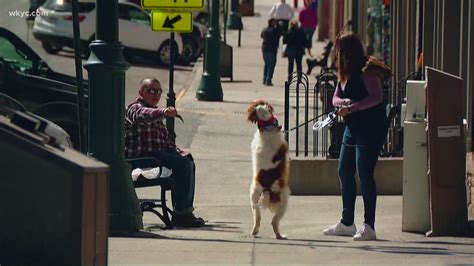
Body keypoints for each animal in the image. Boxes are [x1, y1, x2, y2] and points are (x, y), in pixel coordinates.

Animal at [248, 99, 288, 239]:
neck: (267, 125)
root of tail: (267, 189)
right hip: (285, 200)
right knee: (274, 221)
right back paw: (280, 235)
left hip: (253, 196)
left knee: (257, 217)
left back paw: (254, 231)